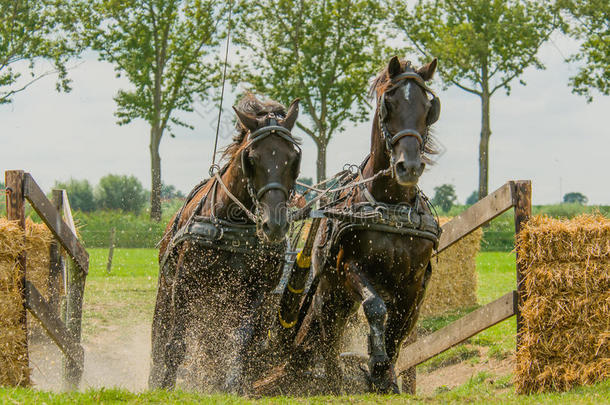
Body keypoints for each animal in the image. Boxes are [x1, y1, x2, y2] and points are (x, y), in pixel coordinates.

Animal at [147, 92, 300, 392]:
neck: (234, 226)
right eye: (251, 158)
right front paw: (165, 386)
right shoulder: (184, 284)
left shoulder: (256, 291)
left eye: (293, 158)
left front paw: (230, 384)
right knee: (161, 334)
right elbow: (176, 343)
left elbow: (240, 340)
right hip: (167, 288)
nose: (275, 225)